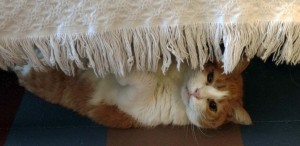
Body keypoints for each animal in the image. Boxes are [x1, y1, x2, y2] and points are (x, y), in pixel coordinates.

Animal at [12, 58, 252, 128]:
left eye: (213, 106)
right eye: (210, 77)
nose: (196, 93)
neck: (175, 85)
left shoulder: (132, 106)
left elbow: (144, 79)